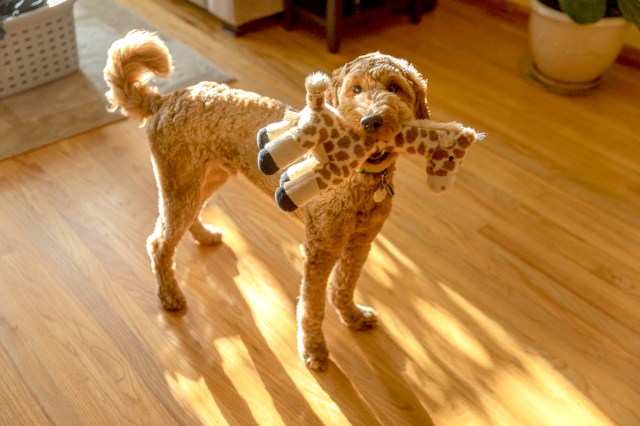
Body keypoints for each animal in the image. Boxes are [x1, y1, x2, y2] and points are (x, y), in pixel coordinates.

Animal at [102, 30, 428, 372]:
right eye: (355, 89)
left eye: (394, 87)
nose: (371, 120)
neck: (360, 181)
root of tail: (166, 100)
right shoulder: (320, 251)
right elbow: (312, 305)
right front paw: (314, 349)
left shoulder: (360, 243)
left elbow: (344, 286)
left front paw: (351, 316)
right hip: (180, 185)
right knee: (159, 243)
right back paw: (170, 296)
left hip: (206, 178)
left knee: (186, 220)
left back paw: (204, 236)